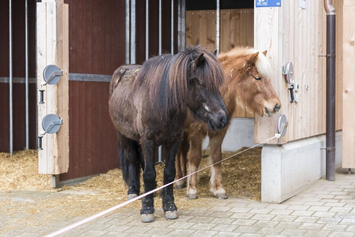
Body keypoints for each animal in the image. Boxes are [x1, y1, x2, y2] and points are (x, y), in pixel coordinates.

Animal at [109, 45, 231, 222]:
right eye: (201, 84)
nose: (222, 119)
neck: (162, 103)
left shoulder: (173, 141)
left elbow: (168, 173)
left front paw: (169, 206)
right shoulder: (148, 140)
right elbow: (149, 174)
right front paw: (147, 210)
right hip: (124, 135)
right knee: (131, 158)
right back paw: (133, 191)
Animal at [175, 46, 280, 198]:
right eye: (258, 77)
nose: (276, 105)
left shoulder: (220, 132)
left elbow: (216, 157)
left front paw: (217, 188)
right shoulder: (196, 132)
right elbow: (195, 157)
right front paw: (192, 189)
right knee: (178, 152)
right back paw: (179, 180)